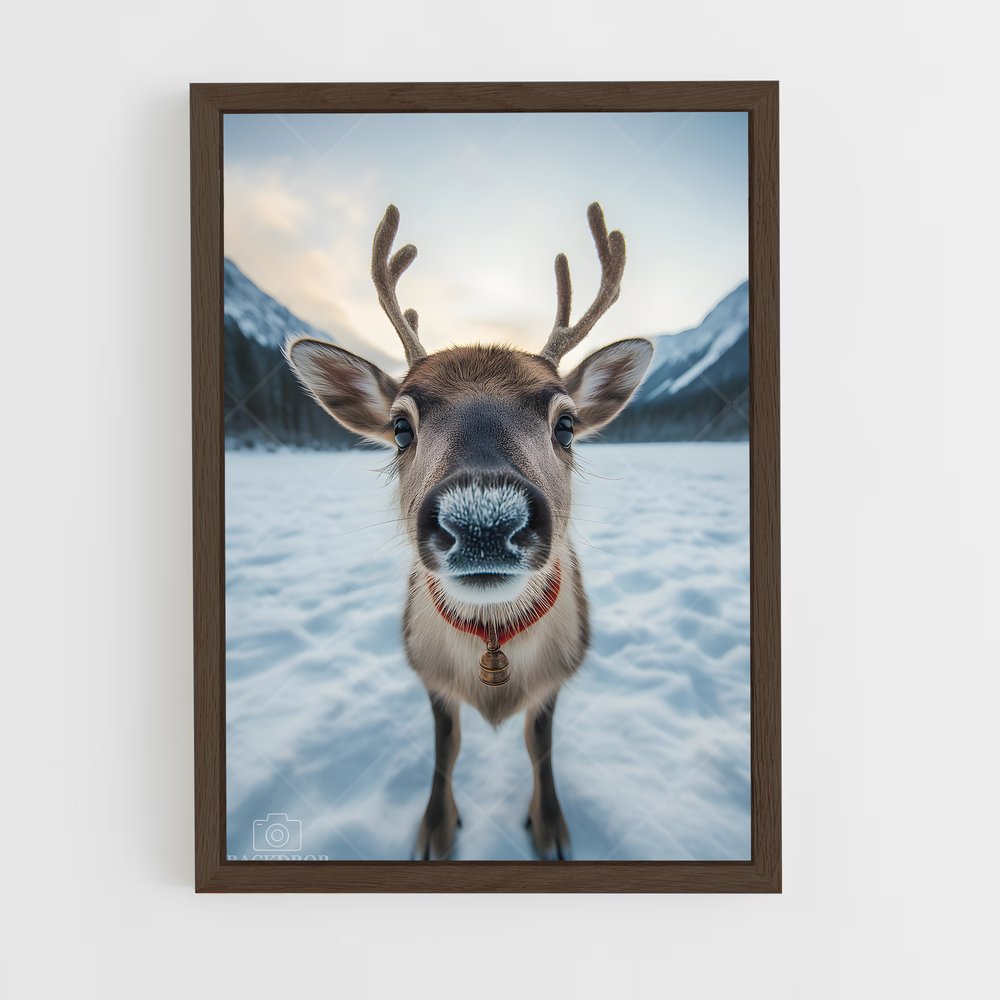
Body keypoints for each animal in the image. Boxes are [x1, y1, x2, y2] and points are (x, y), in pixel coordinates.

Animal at [285, 203, 653, 860]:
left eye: (567, 424)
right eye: (400, 426)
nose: (483, 518)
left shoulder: (558, 677)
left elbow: (540, 746)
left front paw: (550, 827)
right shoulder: (427, 673)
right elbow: (445, 748)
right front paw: (435, 829)